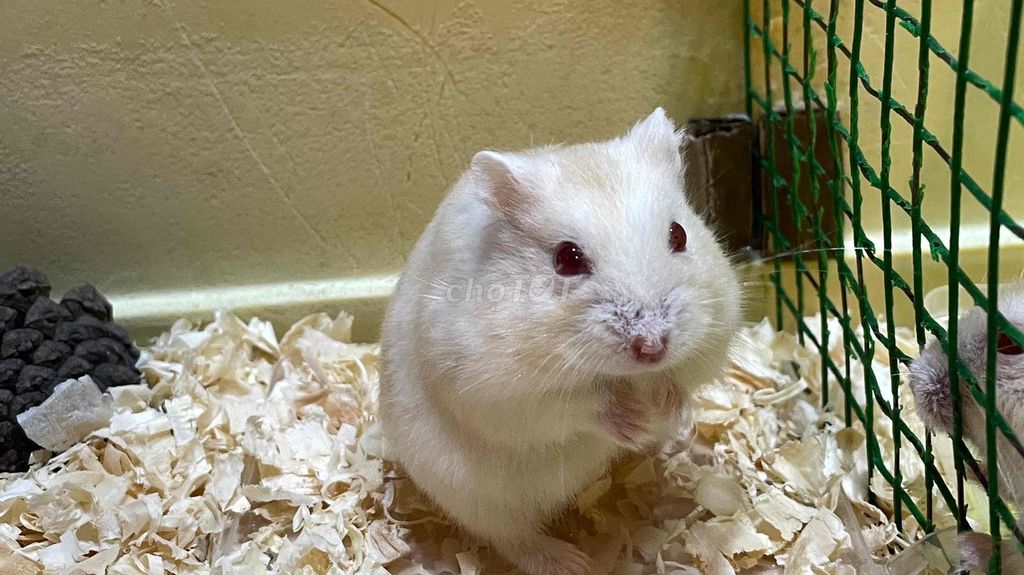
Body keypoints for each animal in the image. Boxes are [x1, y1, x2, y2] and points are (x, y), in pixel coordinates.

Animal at [378, 109, 741, 574]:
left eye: (679, 234)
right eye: (567, 258)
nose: (653, 347)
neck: (623, 374)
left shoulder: (711, 339)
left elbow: (681, 379)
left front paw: (666, 409)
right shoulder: (500, 394)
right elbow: (580, 405)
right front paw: (635, 421)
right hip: (478, 497)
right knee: (512, 539)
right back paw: (572, 561)